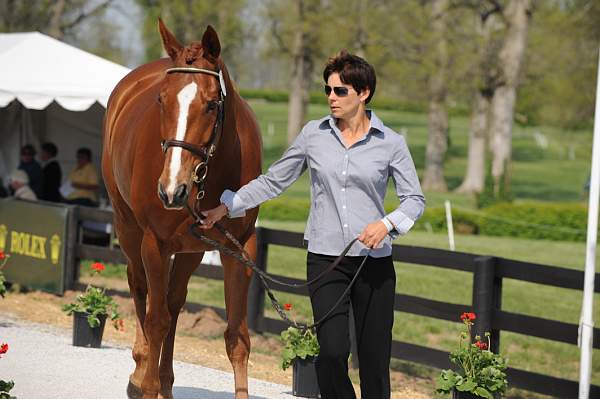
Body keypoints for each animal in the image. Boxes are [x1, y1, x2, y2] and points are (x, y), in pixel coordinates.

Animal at [102, 20, 262, 399]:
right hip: (129, 229)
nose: (171, 189)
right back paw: (141, 370)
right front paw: (146, 385)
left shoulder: (239, 248)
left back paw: (165, 382)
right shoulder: (155, 243)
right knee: (141, 290)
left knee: (174, 303)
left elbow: (237, 338)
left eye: (210, 104)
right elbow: (155, 319)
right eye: (161, 100)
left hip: (191, 249)